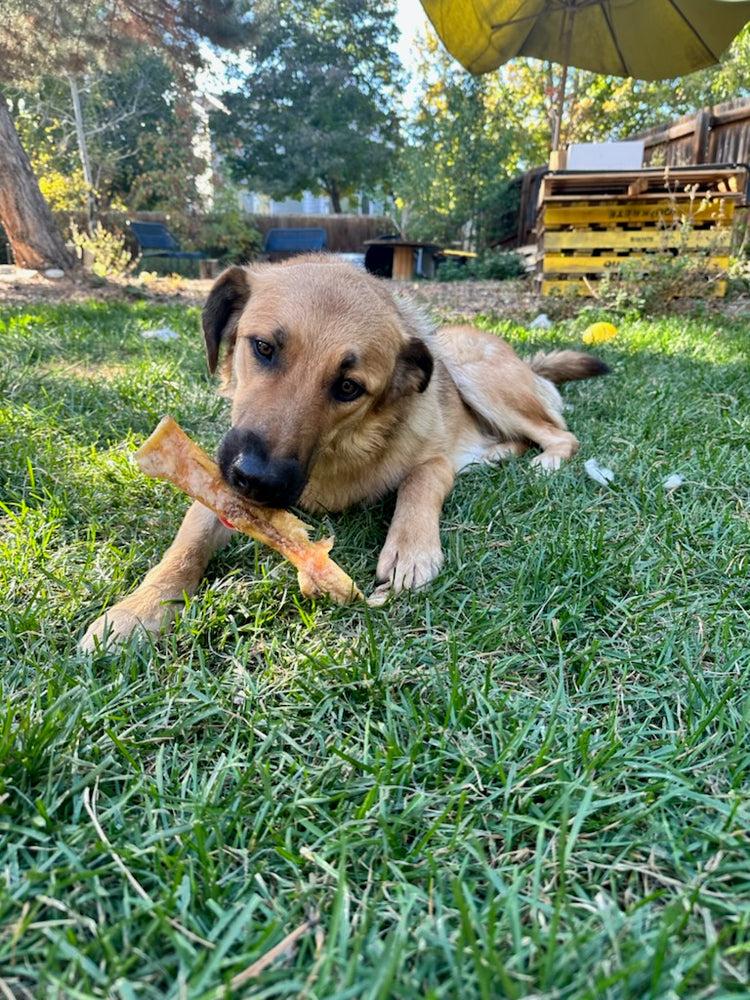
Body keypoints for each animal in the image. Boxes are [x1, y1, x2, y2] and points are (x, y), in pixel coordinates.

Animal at [82, 254, 612, 652]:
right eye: (263, 347)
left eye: (349, 387)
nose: (257, 480)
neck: (336, 454)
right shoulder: (217, 484)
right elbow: (186, 545)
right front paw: (138, 609)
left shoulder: (433, 461)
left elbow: (419, 482)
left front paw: (410, 550)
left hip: (474, 374)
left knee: (559, 434)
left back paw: (543, 462)